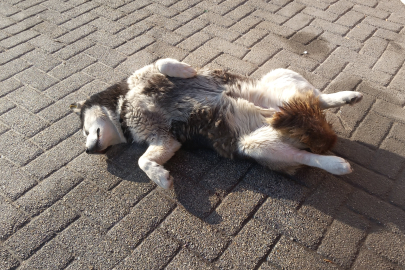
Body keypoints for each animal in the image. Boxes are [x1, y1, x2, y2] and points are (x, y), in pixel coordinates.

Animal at [68, 57, 362, 188]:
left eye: (84, 130)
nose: (88, 150)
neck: (124, 105)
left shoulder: (145, 74)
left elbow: (162, 62)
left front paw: (184, 70)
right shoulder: (164, 139)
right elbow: (144, 160)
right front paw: (160, 177)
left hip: (282, 75)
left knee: (320, 98)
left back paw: (346, 97)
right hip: (253, 145)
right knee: (306, 155)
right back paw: (335, 163)